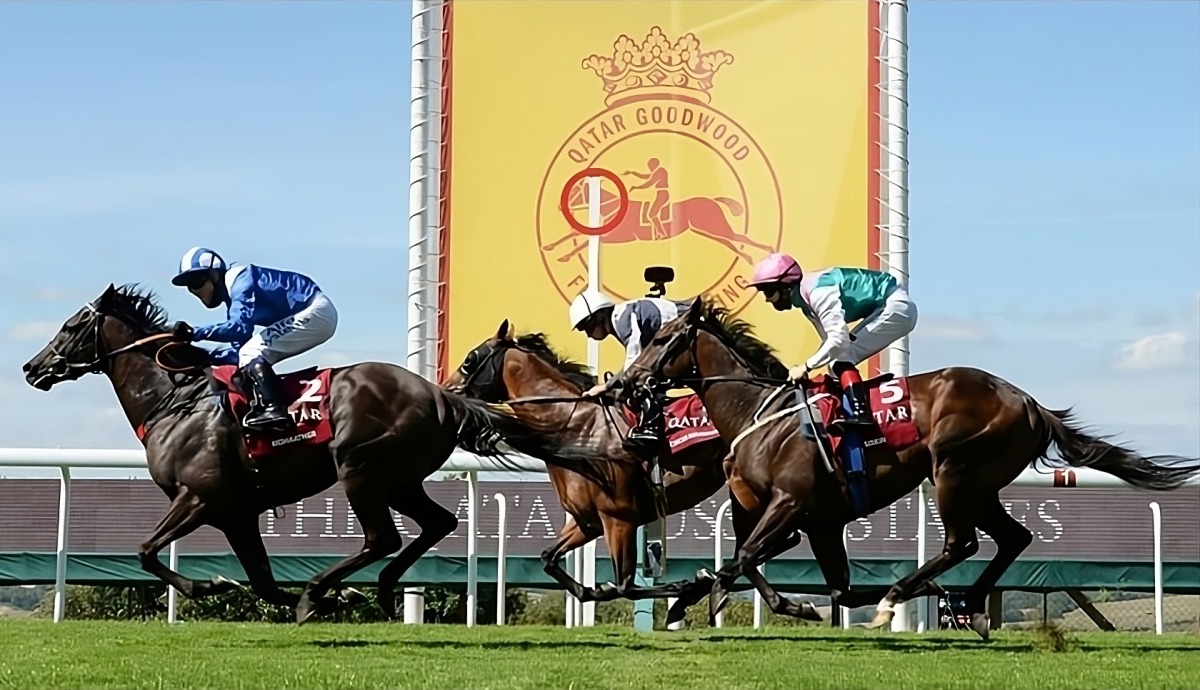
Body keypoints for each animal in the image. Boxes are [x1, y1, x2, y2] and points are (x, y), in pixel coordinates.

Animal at [21, 283, 609, 624]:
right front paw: (319, 598)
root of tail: (443, 395)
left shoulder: (200, 497)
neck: (177, 399)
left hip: (362, 470)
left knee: (382, 537)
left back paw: (326, 589)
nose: (31, 367)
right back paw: (378, 589)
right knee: (435, 523)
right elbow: (259, 578)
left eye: (70, 326)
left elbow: (145, 551)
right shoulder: (237, 512)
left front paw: (209, 584)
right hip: (400, 478)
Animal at [542, 180, 772, 266]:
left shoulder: (616, 237)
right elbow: (575, 234)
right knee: (731, 242)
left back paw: (766, 251)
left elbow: (581, 240)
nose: (560, 206)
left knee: (739, 238)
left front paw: (564, 256)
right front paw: (550, 247)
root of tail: (711, 200)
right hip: (707, 230)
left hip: (714, 227)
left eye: (576, 191)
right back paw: (751, 258)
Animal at [609, 295, 1200, 638]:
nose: (624, 383)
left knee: (961, 543)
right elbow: (795, 577)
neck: (760, 412)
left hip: (954, 471)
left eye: (663, 339)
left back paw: (901, 599)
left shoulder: (792, 506)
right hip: (980, 484)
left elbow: (748, 559)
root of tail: (1031, 403)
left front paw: (793, 608)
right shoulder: (815, 522)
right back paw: (966, 604)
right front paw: (685, 601)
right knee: (1013, 538)